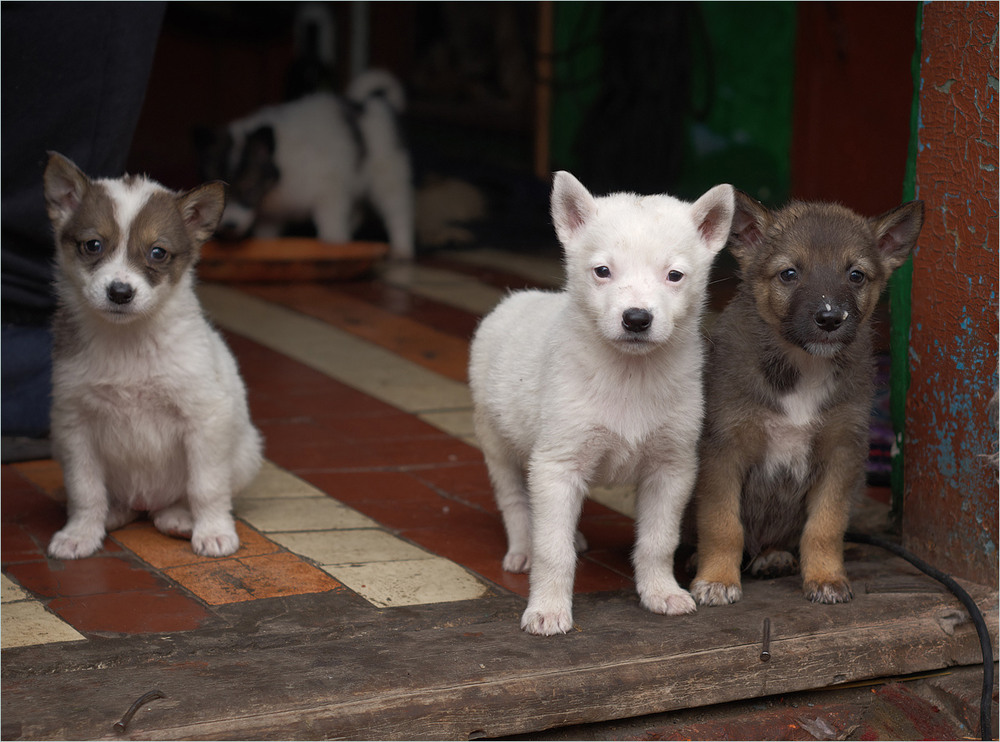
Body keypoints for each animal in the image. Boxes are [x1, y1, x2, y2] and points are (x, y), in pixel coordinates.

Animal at [43, 153, 264, 560]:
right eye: (93, 245)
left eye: (158, 252)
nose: (120, 292)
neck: (128, 340)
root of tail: (147, 504)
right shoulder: (74, 424)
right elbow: (85, 490)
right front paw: (80, 533)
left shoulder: (205, 419)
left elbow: (206, 486)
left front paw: (214, 532)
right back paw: (114, 512)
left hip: (245, 454)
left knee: (186, 496)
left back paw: (179, 517)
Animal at [468, 171, 736, 636]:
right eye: (603, 271)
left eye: (675, 275)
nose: (637, 318)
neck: (629, 376)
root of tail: (517, 297)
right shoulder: (556, 463)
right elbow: (552, 549)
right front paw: (548, 609)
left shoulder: (673, 467)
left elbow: (658, 541)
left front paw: (661, 592)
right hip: (498, 443)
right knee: (517, 503)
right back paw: (522, 548)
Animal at [696, 195, 920, 608]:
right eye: (788, 274)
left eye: (856, 275)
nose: (830, 318)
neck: (803, 366)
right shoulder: (723, 450)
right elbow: (722, 524)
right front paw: (717, 579)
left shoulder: (842, 452)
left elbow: (825, 526)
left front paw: (826, 577)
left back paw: (773, 556)